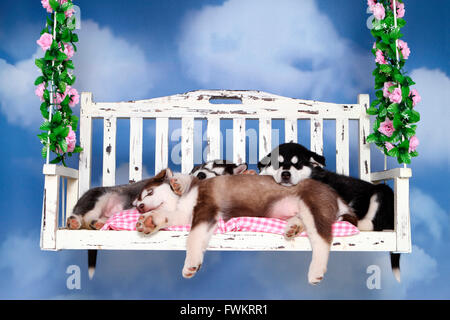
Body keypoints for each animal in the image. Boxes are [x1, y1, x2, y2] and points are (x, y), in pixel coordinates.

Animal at [134, 169, 356, 284]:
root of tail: (337, 197)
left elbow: (193, 236)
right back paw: (293, 227)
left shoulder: (206, 208)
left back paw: (316, 270)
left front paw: (178, 181)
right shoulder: (185, 215)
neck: (182, 202)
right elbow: (169, 217)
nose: (140, 207)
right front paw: (150, 220)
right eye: (137, 204)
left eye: (150, 192)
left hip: (313, 204)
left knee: (322, 239)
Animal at [256, 142, 400, 280]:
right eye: (277, 164)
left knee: (374, 223)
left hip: (381, 192)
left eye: (298, 164)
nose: (285, 174)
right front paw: (294, 226)